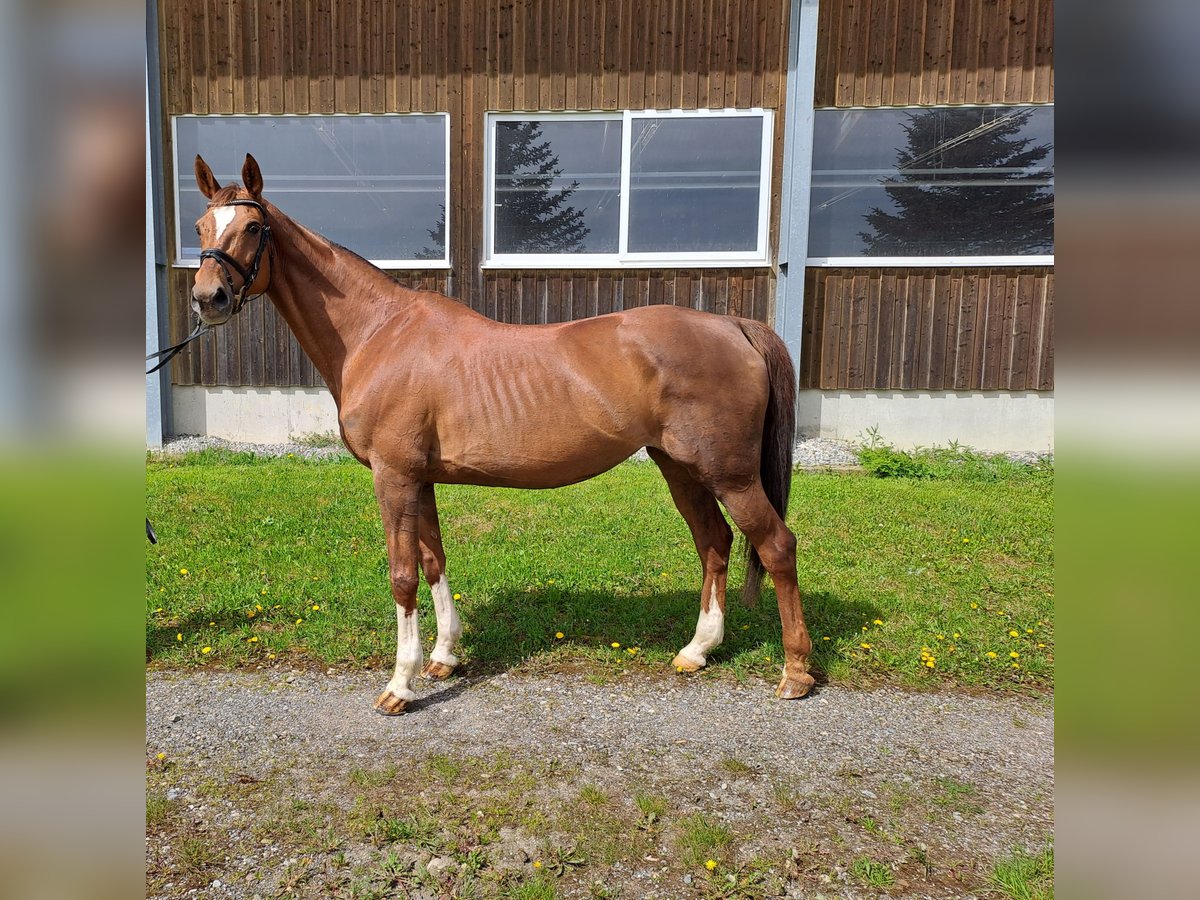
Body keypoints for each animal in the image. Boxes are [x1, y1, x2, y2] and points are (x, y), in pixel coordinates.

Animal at [189, 157, 816, 720]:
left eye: (252, 228)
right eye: (199, 227)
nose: (207, 298)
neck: (378, 333)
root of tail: (734, 325)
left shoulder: (394, 477)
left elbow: (402, 576)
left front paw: (400, 685)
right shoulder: (421, 480)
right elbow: (434, 562)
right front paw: (443, 658)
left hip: (729, 474)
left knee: (776, 547)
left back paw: (795, 672)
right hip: (680, 467)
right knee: (714, 542)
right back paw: (698, 650)